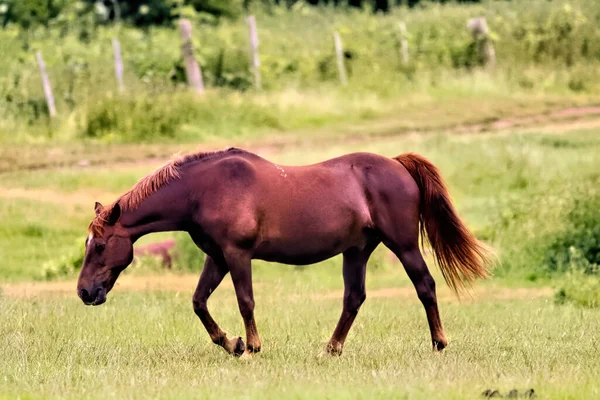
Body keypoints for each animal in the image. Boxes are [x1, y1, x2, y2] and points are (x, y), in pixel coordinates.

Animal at [78, 148, 492, 360]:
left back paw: (439, 343)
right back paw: (331, 349)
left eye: (99, 245)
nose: (84, 292)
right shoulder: (217, 256)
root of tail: (396, 164)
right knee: (354, 298)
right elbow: (199, 302)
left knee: (425, 285)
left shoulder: (236, 255)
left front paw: (252, 347)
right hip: (357, 250)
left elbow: (245, 301)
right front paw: (231, 343)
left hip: (403, 245)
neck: (204, 190)